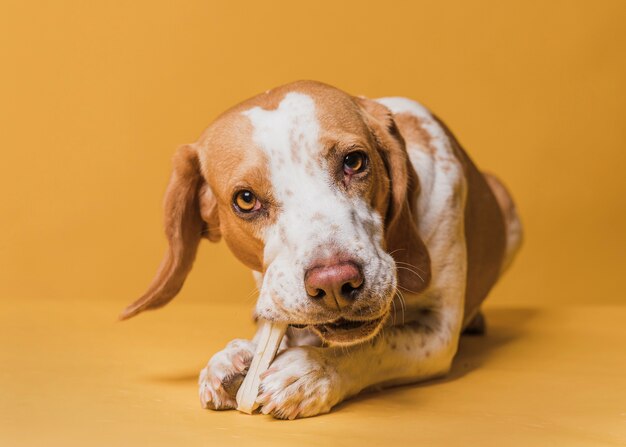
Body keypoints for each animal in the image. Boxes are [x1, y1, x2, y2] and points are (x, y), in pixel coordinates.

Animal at [119, 79, 520, 420]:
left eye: (355, 161)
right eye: (245, 199)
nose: (334, 283)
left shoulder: (438, 332)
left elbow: (377, 345)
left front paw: (313, 371)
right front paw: (234, 356)